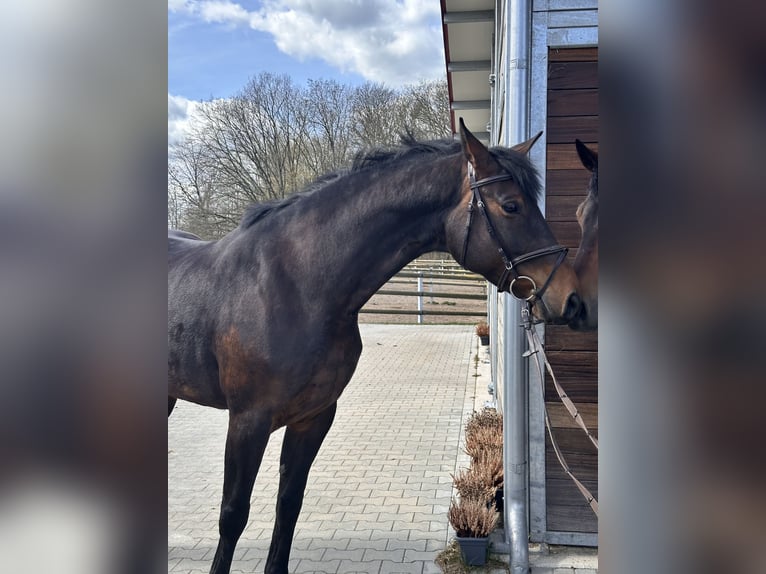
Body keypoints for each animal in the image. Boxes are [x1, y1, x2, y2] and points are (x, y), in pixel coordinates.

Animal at [168, 119, 582, 574]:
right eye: (511, 206)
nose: (571, 298)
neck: (296, 284)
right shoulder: (247, 421)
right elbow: (233, 515)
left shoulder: (313, 418)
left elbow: (288, 504)